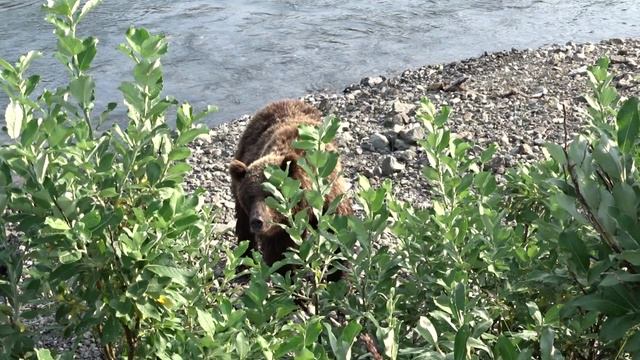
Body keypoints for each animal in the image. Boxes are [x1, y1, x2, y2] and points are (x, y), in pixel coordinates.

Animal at [229, 100, 352, 280]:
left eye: (272, 194)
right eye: (250, 196)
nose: (258, 221)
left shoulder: (330, 198)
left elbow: (336, 236)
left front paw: (337, 276)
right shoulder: (279, 227)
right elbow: (280, 254)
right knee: (243, 222)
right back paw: (244, 260)